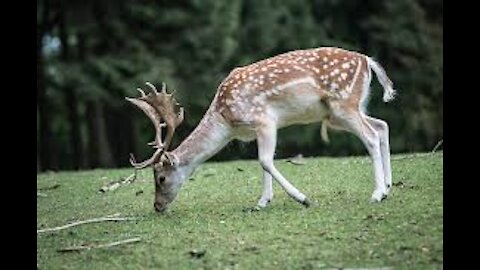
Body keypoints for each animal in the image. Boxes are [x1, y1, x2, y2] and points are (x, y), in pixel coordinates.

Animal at [125, 47, 396, 213]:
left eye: (161, 178)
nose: (157, 206)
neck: (226, 120)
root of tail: (367, 61)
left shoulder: (264, 119)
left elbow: (265, 160)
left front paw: (302, 198)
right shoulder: (257, 129)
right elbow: (262, 162)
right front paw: (262, 202)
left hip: (344, 104)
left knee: (371, 136)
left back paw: (376, 193)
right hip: (341, 111)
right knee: (382, 125)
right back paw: (388, 187)